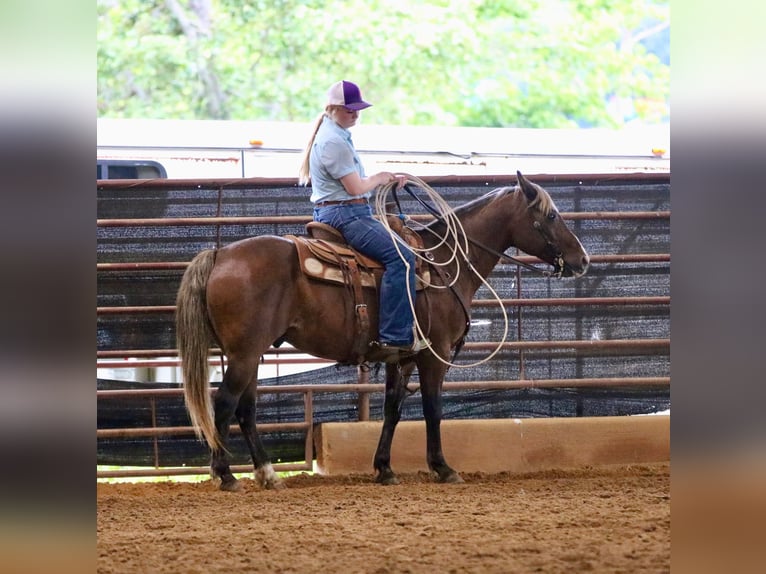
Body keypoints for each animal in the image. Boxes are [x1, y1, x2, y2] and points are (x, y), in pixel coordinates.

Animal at [176, 171, 589, 490]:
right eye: (552, 215)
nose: (582, 259)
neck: (442, 262)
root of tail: (221, 255)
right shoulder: (434, 355)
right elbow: (433, 408)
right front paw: (443, 468)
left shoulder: (401, 357)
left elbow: (392, 408)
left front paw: (385, 469)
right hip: (245, 353)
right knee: (224, 404)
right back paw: (226, 476)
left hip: (250, 353)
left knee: (246, 410)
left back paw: (267, 474)